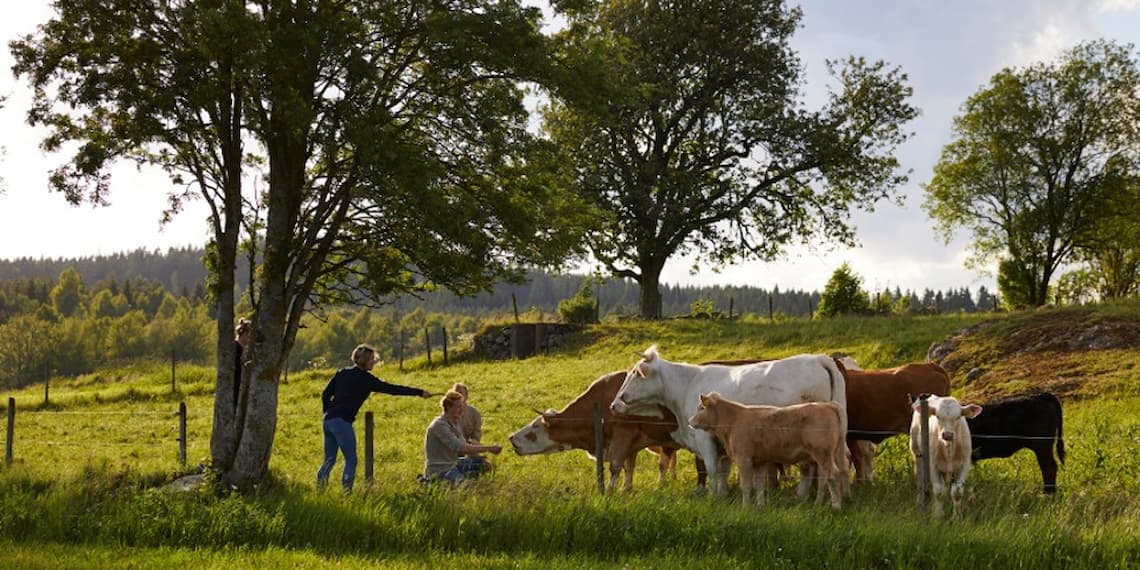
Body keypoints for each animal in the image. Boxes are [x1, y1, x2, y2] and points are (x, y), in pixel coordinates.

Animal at [510, 369, 702, 490]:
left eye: (536, 426)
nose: (511, 437)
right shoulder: (632, 444)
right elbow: (629, 467)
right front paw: (626, 489)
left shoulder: (623, 434)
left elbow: (616, 466)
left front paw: (609, 492)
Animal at [615, 344, 848, 497]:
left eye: (635, 373)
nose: (615, 403)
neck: (687, 385)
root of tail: (818, 358)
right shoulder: (724, 441)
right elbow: (724, 470)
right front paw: (723, 493)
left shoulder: (705, 438)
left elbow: (711, 468)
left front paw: (712, 496)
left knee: (816, 467)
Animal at [684, 394, 848, 510]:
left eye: (701, 408)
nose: (689, 421)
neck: (733, 421)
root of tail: (827, 404)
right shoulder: (760, 462)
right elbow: (760, 485)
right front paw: (760, 506)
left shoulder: (744, 459)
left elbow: (746, 486)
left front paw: (746, 508)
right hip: (829, 455)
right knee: (827, 479)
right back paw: (819, 504)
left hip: (823, 454)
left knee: (833, 476)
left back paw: (836, 507)